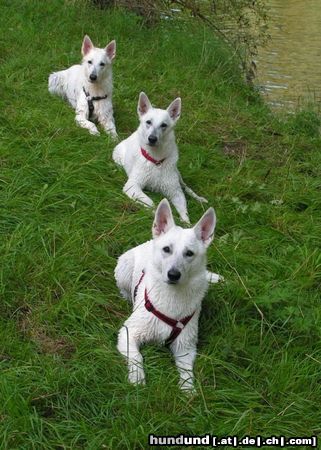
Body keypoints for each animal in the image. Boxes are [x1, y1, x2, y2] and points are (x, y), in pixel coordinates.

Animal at [112, 92, 208, 223]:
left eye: (164, 125)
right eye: (148, 122)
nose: (152, 139)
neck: (156, 160)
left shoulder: (175, 192)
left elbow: (184, 211)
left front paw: (186, 223)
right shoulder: (132, 187)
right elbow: (151, 203)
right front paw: (156, 214)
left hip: (177, 174)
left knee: (186, 187)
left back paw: (199, 198)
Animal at [115, 199, 222, 392]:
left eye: (189, 253)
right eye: (167, 249)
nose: (173, 275)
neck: (172, 296)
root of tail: (149, 241)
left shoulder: (185, 347)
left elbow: (187, 373)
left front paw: (188, 391)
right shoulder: (128, 333)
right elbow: (136, 357)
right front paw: (137, 378)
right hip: (123, 269)